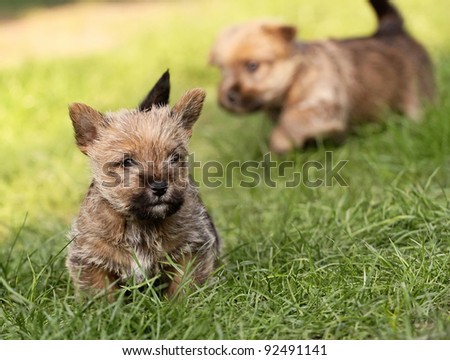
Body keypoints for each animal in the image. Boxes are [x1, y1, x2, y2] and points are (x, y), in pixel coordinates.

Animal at [66, 70, 220, 298]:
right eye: (127, 162)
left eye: (174, 158)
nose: (160, 186)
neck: (141, 224)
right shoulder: (91, 258)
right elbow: (100, 292)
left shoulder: (192, 246)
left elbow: (185, 283)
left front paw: (181, 303)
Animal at [211, 0, 436, 153]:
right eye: (222, 70)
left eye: (252, 66)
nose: (228, 97)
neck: (296, 78)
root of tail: (394, 30)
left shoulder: (324, 106)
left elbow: (292, 119)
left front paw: (278, 145)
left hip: (418, 96)